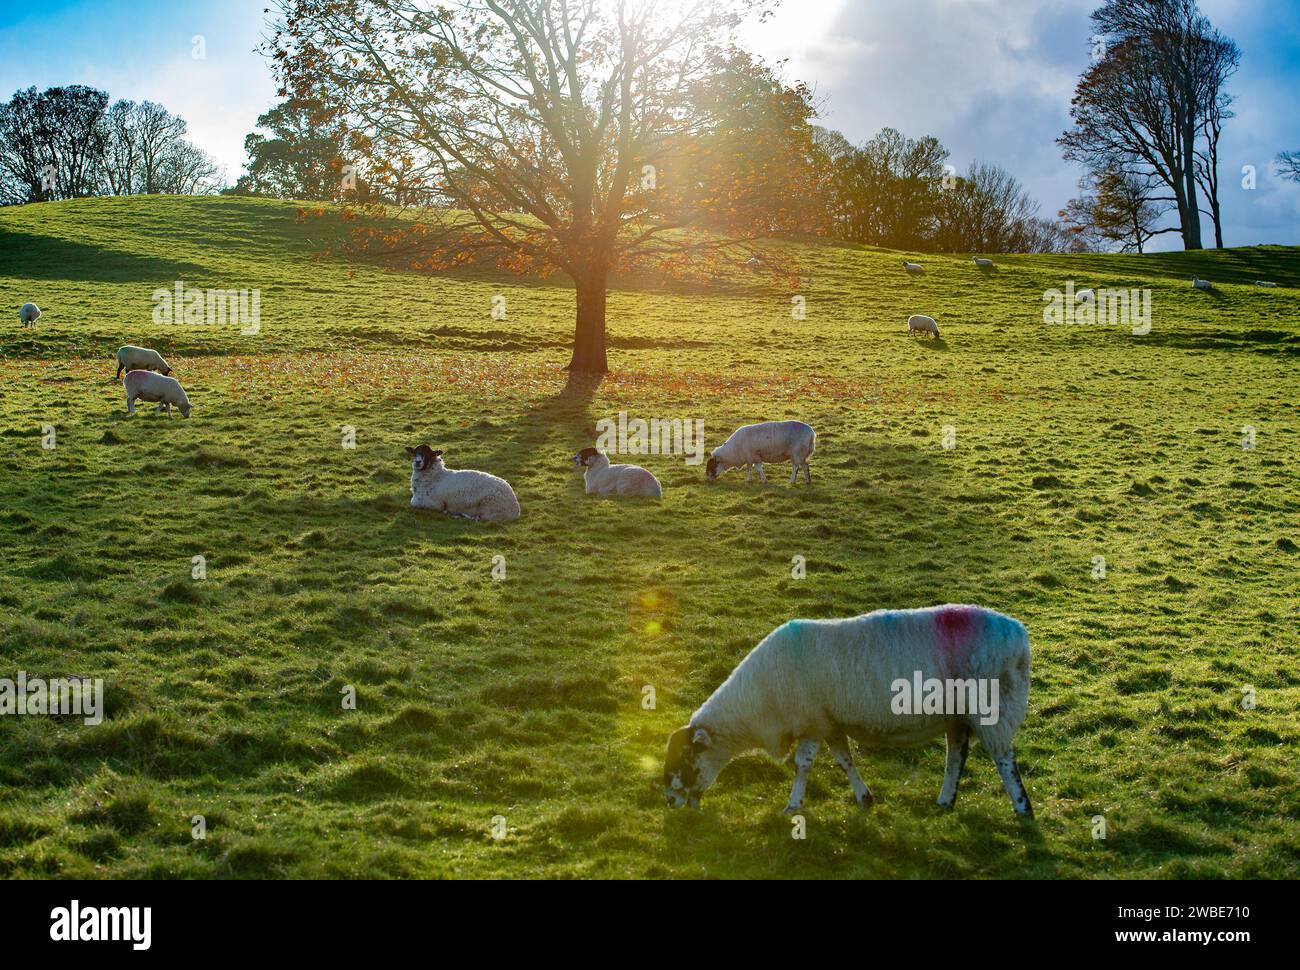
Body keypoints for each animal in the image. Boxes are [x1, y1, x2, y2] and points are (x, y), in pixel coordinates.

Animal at [665, 603, 1029, 816]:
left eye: (687, 758)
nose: (670, 802)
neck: (758, 703)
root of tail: (1019, 634)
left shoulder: (810, 722)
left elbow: (803, 765)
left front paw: (793, 805)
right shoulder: (828, 723)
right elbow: (844, 760)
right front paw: (864, 798)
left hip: (992, 707)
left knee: (1004, 759)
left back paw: (1023, 808)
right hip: (958, 715)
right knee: (956, 755)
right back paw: (945, 801)